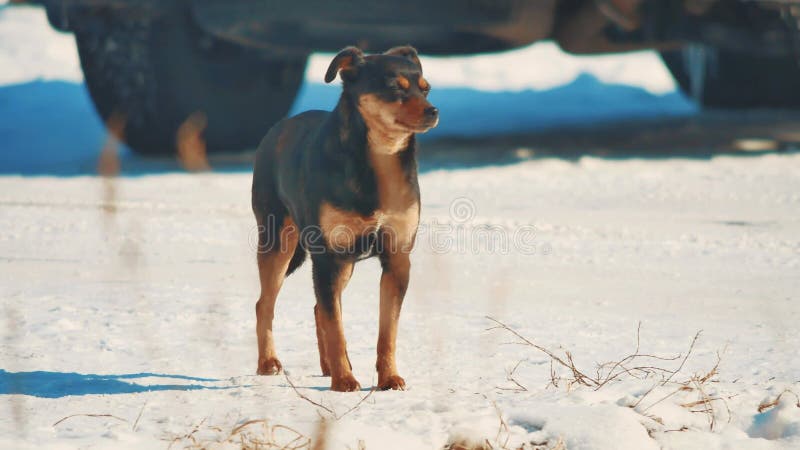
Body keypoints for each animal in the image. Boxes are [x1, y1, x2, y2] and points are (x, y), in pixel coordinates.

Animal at [250, 44, 438, 390]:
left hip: (343, 265)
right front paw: (345, 382)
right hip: (278, 243)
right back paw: (268, 363)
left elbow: (387, 331)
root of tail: (276, 128)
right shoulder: (329, 257)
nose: (433, 110)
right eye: (395, 88)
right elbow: (336, 327)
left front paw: (389, 378)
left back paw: (326, 366)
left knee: (317, 307)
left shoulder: (396, 258)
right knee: (265, 304)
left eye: (426, 88)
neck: (379, 160)